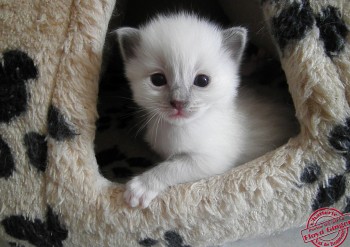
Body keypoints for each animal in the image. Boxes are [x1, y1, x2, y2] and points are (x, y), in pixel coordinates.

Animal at [116, 13, 296, 208]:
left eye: (202, 81)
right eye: (157, 80)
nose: (178, 103)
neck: (178, 129)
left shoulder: (211, 159)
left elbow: (173, 167)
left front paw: (142, 186)